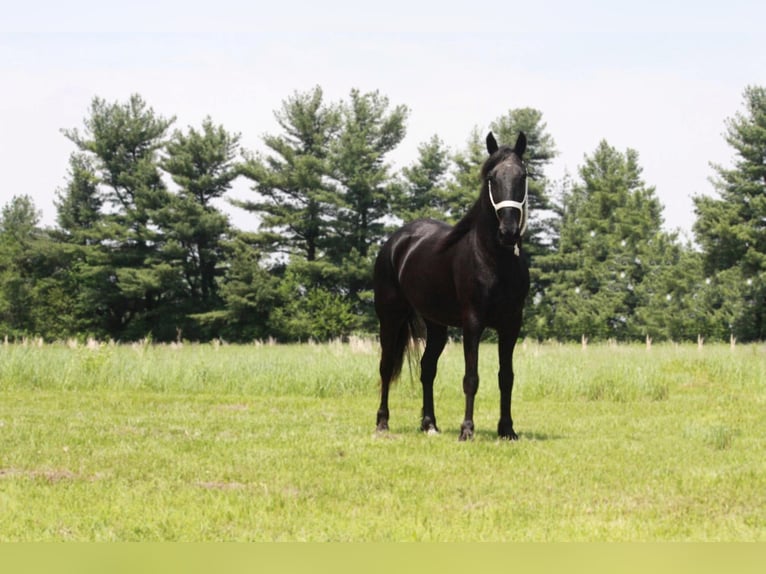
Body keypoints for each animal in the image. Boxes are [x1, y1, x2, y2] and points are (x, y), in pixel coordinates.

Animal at [376, 133, 532, 444]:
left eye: (522, 176)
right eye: (492, 177)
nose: (508, 232)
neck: (495, 260)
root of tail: (396, 242)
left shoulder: (512, 324)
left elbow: (506, 377)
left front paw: (507, 429)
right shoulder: (472, 322)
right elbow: (471, 378)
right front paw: (467, 430)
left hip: (435, 325)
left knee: (427, 369)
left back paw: (429, 424)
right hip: (390, 317)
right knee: (386, 366)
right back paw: (382, 423)